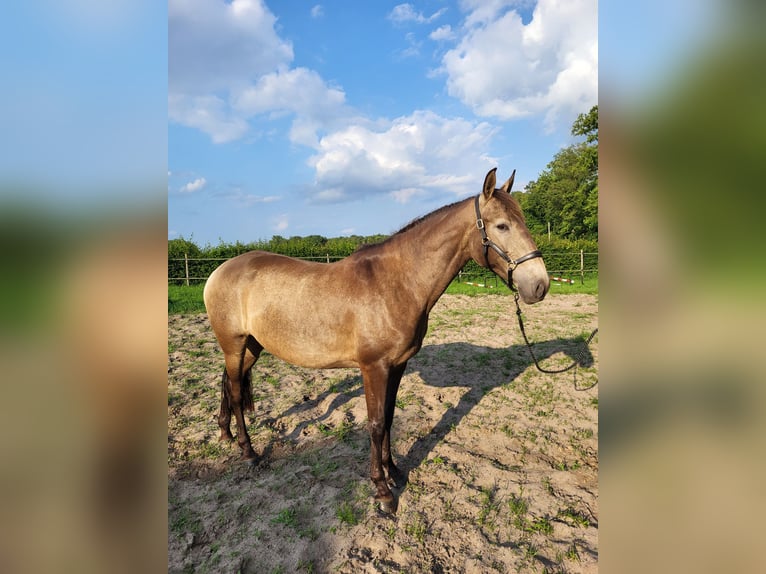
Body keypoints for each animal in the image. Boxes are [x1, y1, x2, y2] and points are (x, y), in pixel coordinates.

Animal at [203, 168, 549, 513]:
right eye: (502, 225)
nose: (539, 285)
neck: (397, 283)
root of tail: (220, 270)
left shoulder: (397, 366)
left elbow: (391, 417)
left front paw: (394, 470)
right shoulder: (373, 368)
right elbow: (376, 423)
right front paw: (382, 491)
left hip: (251, 346)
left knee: (227, 382)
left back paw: (225, 434)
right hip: (234, 344)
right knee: (236, 393)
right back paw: (248, 452)